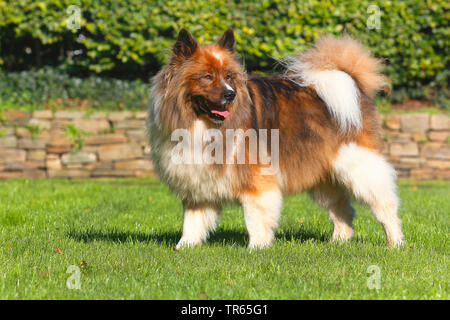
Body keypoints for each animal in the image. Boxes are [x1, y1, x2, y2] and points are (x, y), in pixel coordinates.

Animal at [148, 28, 404, 250]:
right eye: (207, 77)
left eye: (229, 76)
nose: (231, 94)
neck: (202, 124)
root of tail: (351, 81)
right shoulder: (197, 180)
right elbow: (193, 220)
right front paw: (184, 247)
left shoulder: (256, 180)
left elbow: (255, 217)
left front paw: (257, 247)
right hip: (324, 176)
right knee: (343, 210)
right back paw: (338, 242)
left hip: (359, 168)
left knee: (386, 206)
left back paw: (395, 243)